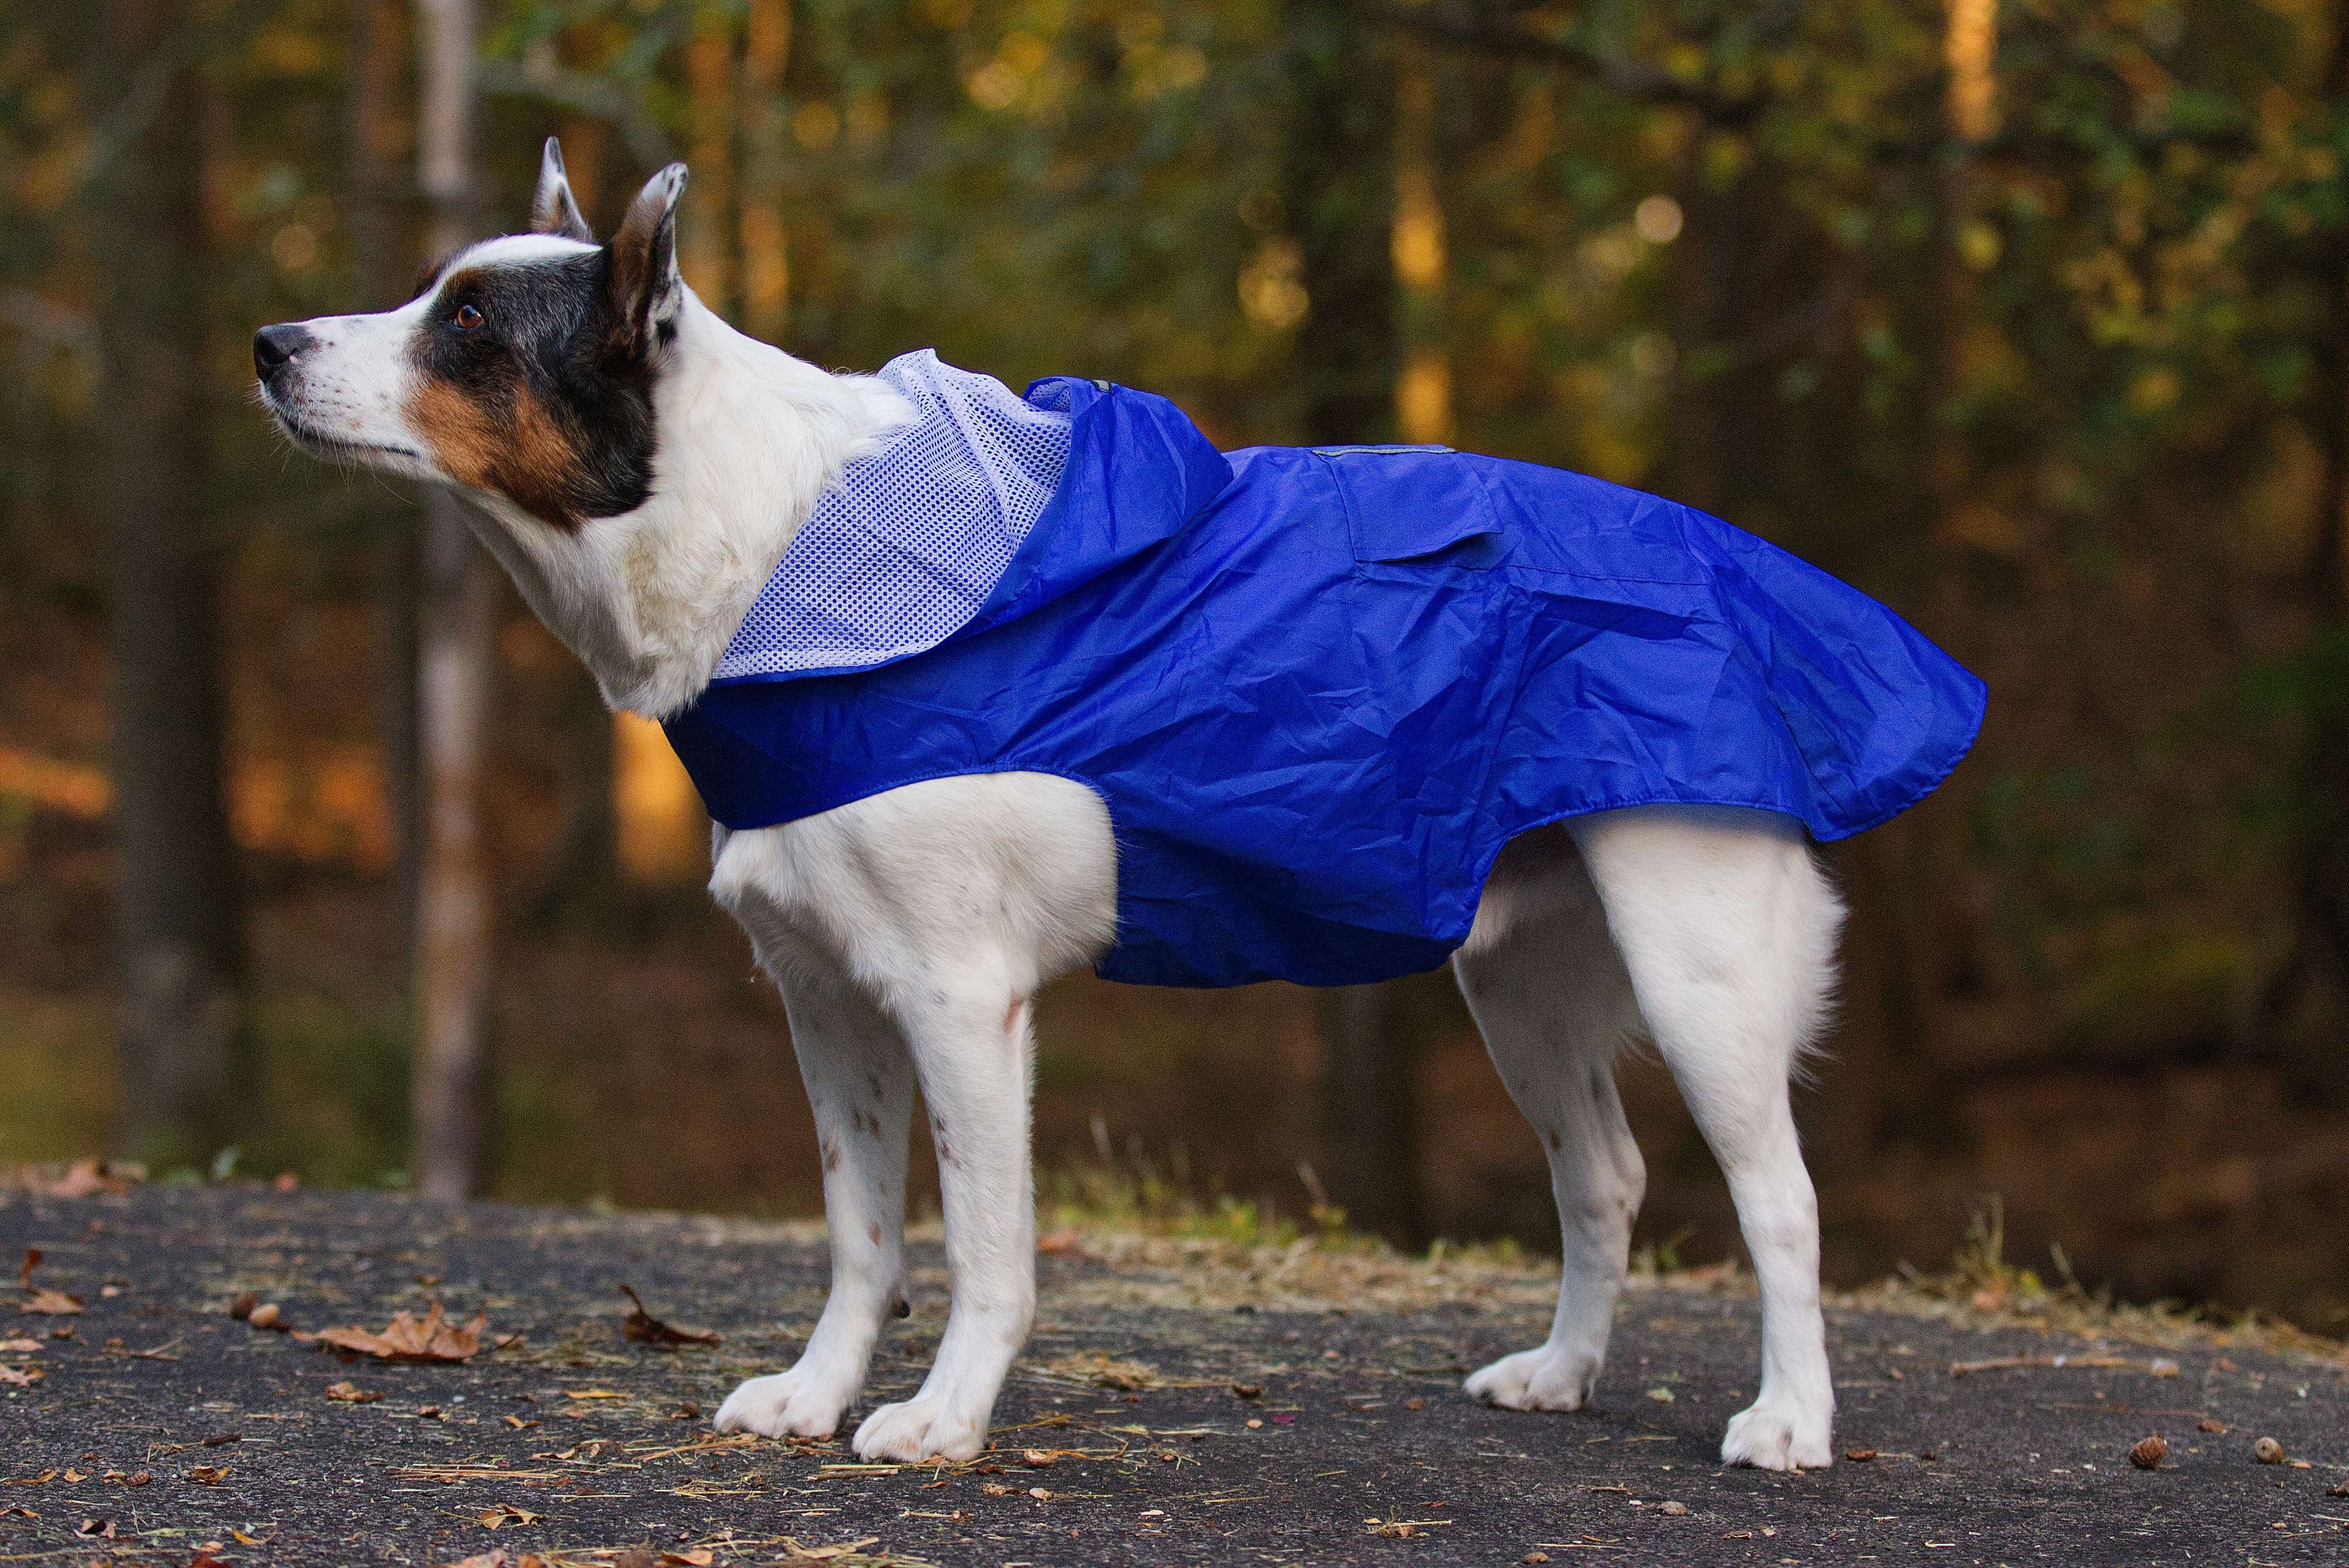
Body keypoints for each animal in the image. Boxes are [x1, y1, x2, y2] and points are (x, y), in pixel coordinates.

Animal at [248, 144, 1898, 1474]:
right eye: (432, 294)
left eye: (469, 328)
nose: (266, 343)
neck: (771, 538)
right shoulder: (825, 1001)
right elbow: (862, 1231)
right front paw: (816, 1392)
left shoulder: (960, 1000)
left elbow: (987, 1245)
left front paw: (942, 1417)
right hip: (1520, 979)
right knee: (1603, 1174)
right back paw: (1562, 1371)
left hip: (1697, 975)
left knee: (1783, 1201)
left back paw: (1792, 1421)